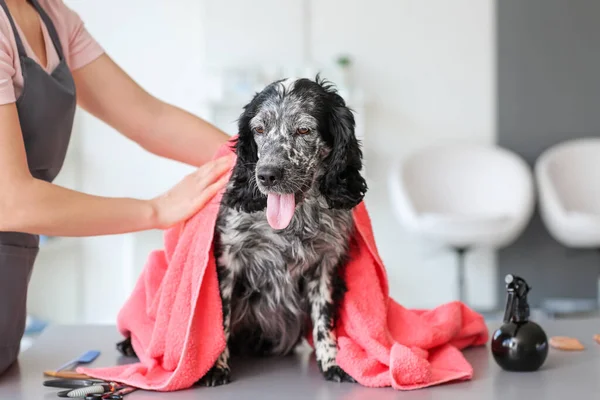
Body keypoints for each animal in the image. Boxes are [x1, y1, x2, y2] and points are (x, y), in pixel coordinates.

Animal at [114, 76, 366, 388]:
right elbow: (219, 317)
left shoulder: (325, 264)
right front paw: (215, 367)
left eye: (304, 129)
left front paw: (331, 361)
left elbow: (323, 318)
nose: (267, 175)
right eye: (259, 129)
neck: (290, 224)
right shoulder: (227, 261)